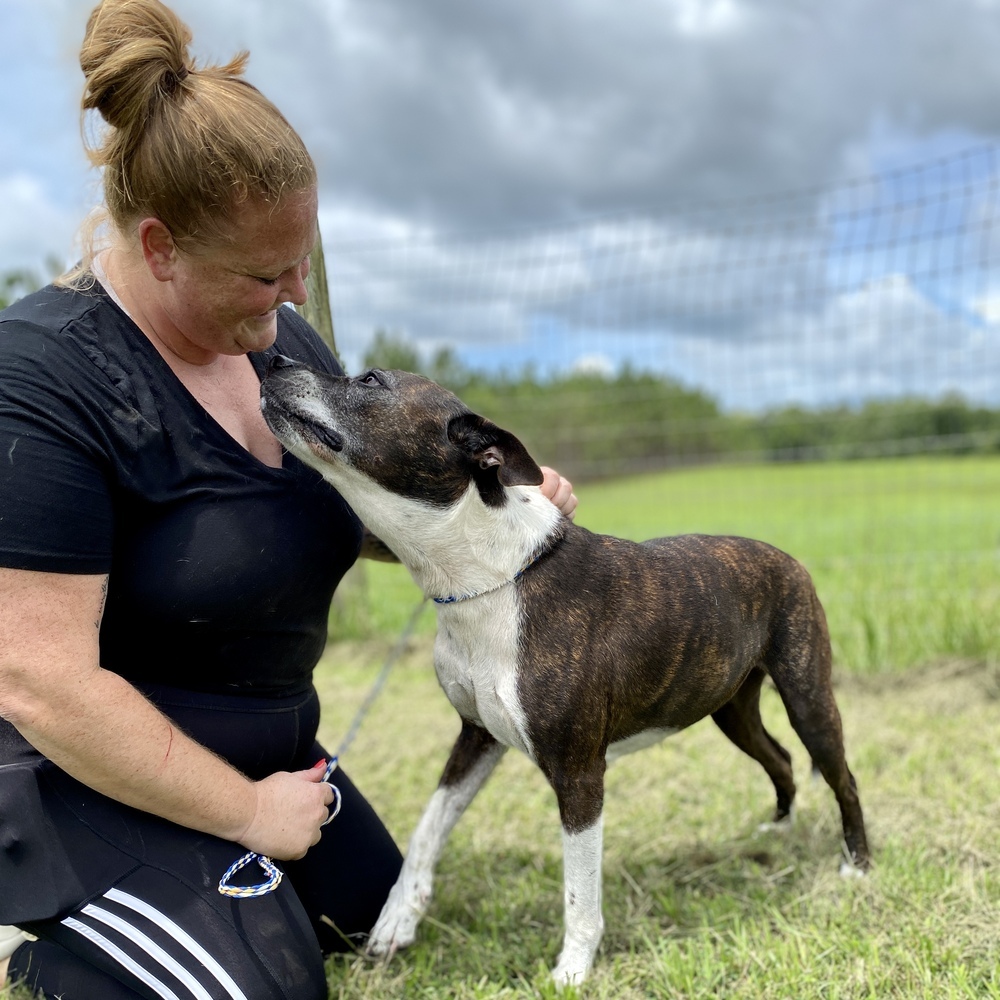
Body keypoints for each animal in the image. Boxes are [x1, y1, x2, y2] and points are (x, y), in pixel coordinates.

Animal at [262, 358, 872, 984]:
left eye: (370, 382)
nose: (277, 361)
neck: (483, 576)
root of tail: (788, 558)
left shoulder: (579, 775)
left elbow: (580, 890)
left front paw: (572, 971)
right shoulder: (477, 737)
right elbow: (428, 826)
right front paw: (396, 919)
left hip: (807, 697)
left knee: (841, 775)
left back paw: (856, 863)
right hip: (732, 709)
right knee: (779, 757)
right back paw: (779, 827)